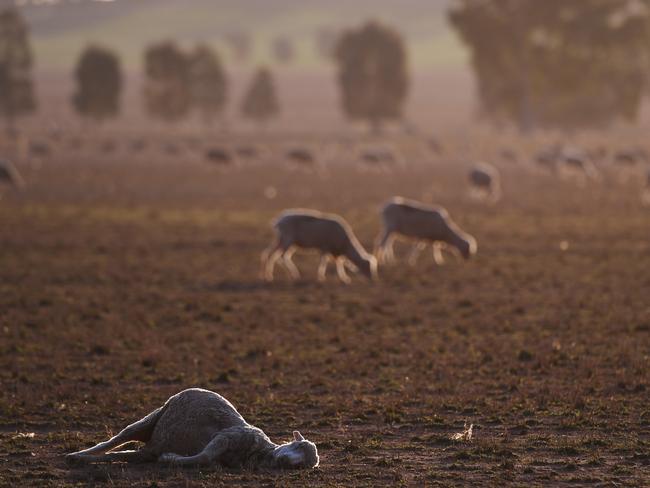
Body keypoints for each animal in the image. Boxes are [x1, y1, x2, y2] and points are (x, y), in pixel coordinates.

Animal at [65, 386, 316, 470]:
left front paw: (170, 458)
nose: (285, 462)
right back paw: (77, 455)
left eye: (303, 466)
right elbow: (204, 456)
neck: (258, 452)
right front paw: (171, 458)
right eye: (298, 445)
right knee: (117, 439)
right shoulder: (226, 436)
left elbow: (206, 460)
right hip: (153, 417)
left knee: (124, 454)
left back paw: (83, 459)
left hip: (146, 450)